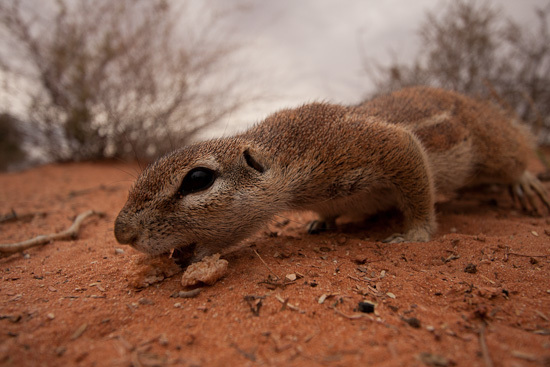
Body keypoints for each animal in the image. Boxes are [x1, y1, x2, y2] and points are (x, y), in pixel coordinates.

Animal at [114, 86, 548, 264]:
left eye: (198, 180)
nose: (122, 233)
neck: (286, 158)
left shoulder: (363, 145)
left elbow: (412, 168)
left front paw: (415, 232)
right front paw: (322, 223)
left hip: (491, 145)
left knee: (514, 156)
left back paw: (525, 181)